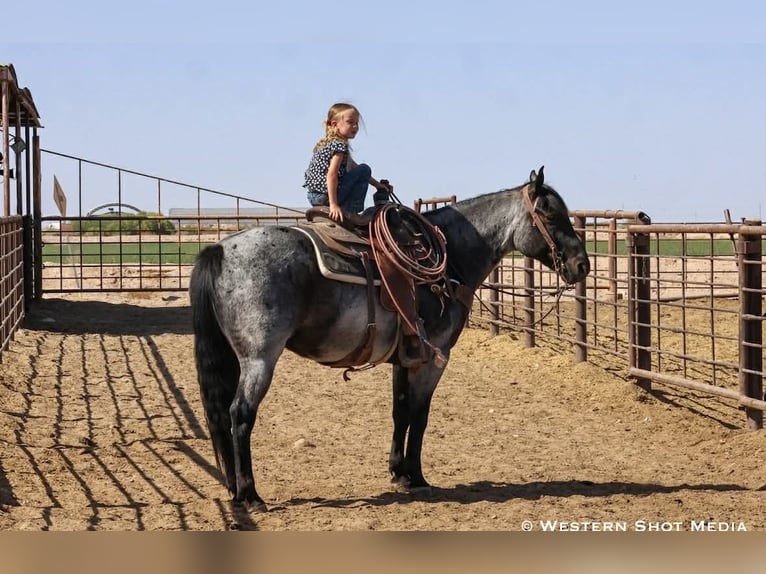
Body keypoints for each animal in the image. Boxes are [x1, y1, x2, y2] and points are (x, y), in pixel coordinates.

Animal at [189, 167, 590, 511]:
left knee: (221, 416)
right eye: (550, 215)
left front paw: (398, 472)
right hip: (259, 359)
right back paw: (250, 495)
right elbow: (420, 415)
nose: (582, 265)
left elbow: (400, 412)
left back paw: (234, 489)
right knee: (240, 414)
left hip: (234, 358)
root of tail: (219, 250)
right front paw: (417, 477)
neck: (449, 261)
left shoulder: (405, 358)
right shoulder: (434, 359)